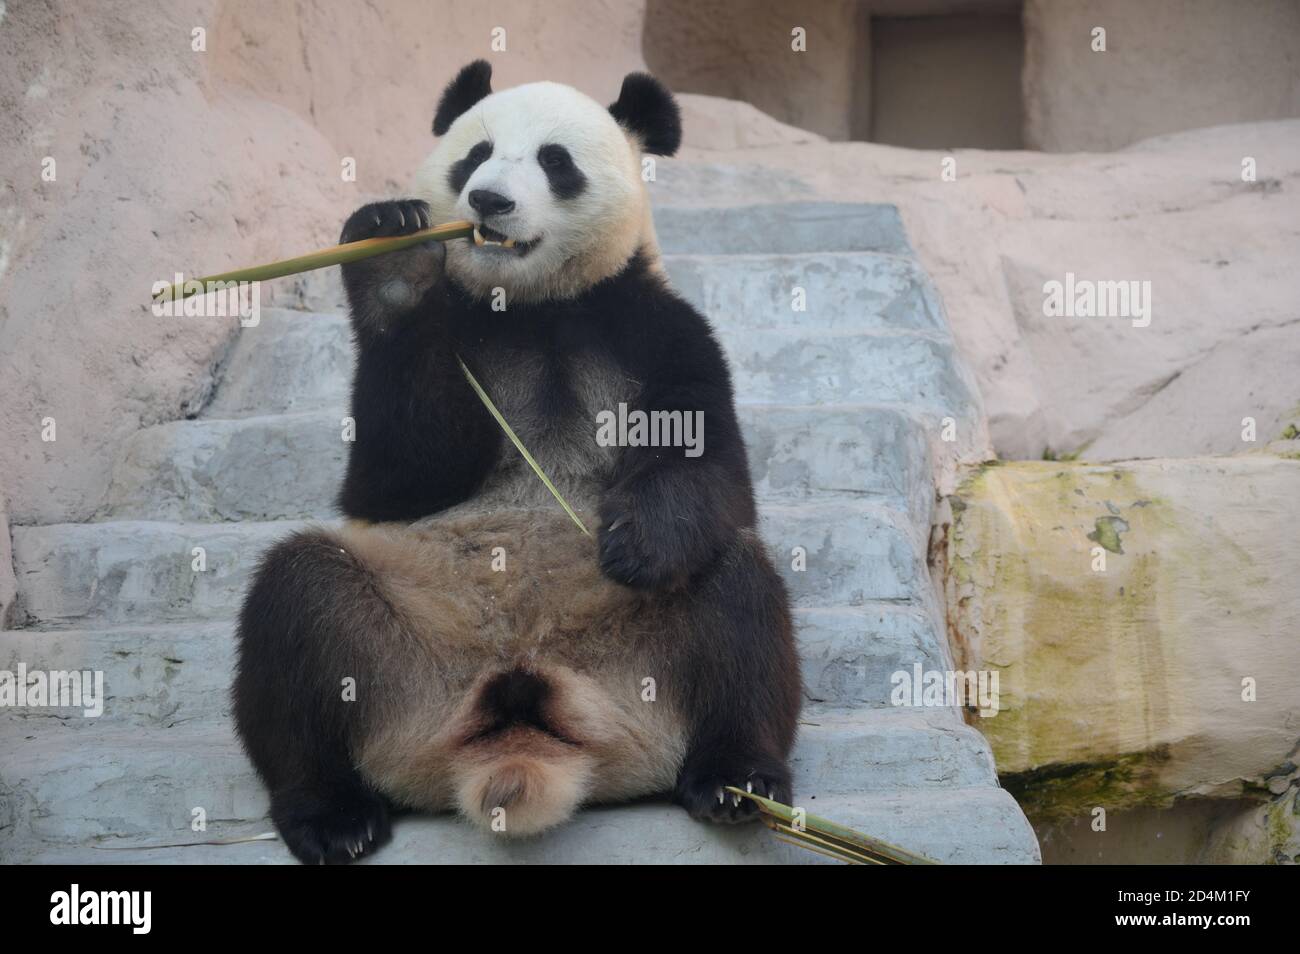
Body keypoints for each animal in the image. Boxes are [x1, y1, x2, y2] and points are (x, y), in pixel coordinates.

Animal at [235, 61, 800, 868]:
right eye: (475, 154)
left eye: (554, 160)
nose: (488, 201)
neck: (537, 308)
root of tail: (519, 715)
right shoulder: (461, 338)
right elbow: (393, 478)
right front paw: (394, 260)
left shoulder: (661, 330)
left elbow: (713, 467)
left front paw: (636, 541)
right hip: (402, 654)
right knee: (301, 601)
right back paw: (332, 816)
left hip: (640, 666)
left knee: (737, 588)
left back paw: (735, 781)